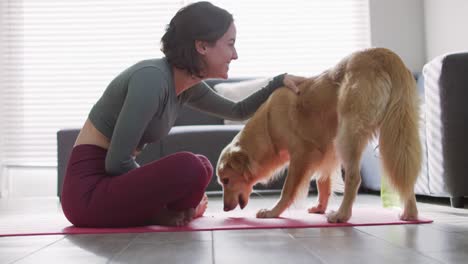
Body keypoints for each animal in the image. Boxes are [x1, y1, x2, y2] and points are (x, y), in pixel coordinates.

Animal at [218, 47, 422, 223]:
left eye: (226, 180)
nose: (225, 209)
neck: (268, 127)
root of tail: (381, 54)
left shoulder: (301, 154)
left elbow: (288, 189)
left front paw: (273, 212)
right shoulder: (327, 152)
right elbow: (323, 182)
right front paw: (320, 207)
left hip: (347, 135)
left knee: (354, 177)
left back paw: (341, 215)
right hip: (399, 132)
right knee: (406, 173)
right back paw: (410, 213)